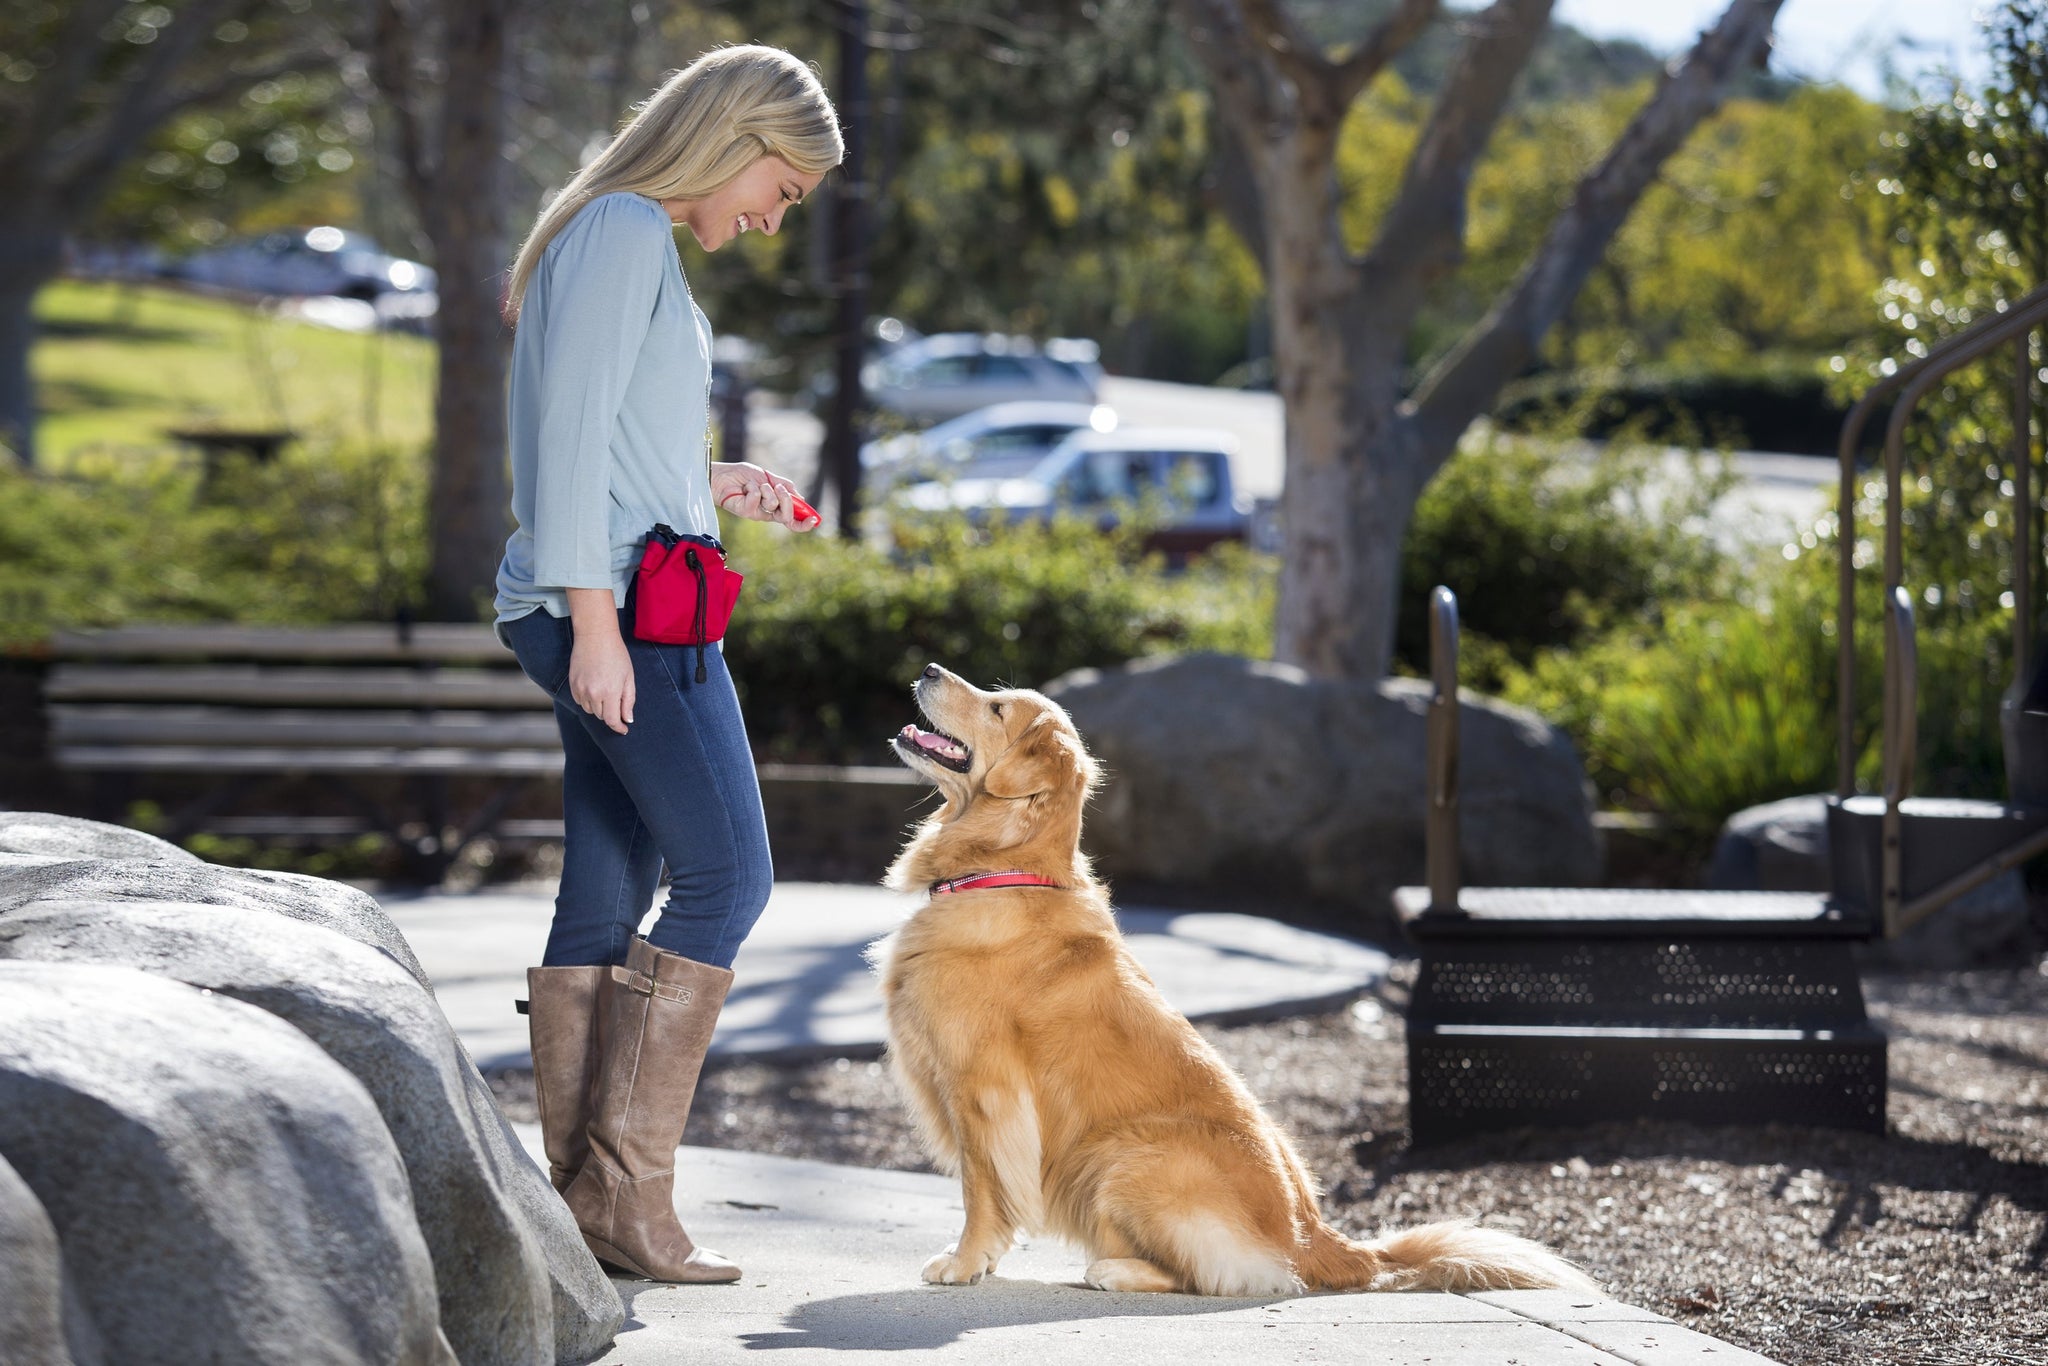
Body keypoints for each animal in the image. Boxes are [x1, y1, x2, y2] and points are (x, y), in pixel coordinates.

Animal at [872, 667, 1589, 1302]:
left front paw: (965, 1261)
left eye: (996, 708)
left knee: (1210, 1276)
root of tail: (1316, 1237)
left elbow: (980, 1187)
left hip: (1126, 1156)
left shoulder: (980, 1088)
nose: (929, 667)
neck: (1004, 871)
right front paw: (983, 1259)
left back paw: (1115, 1271)